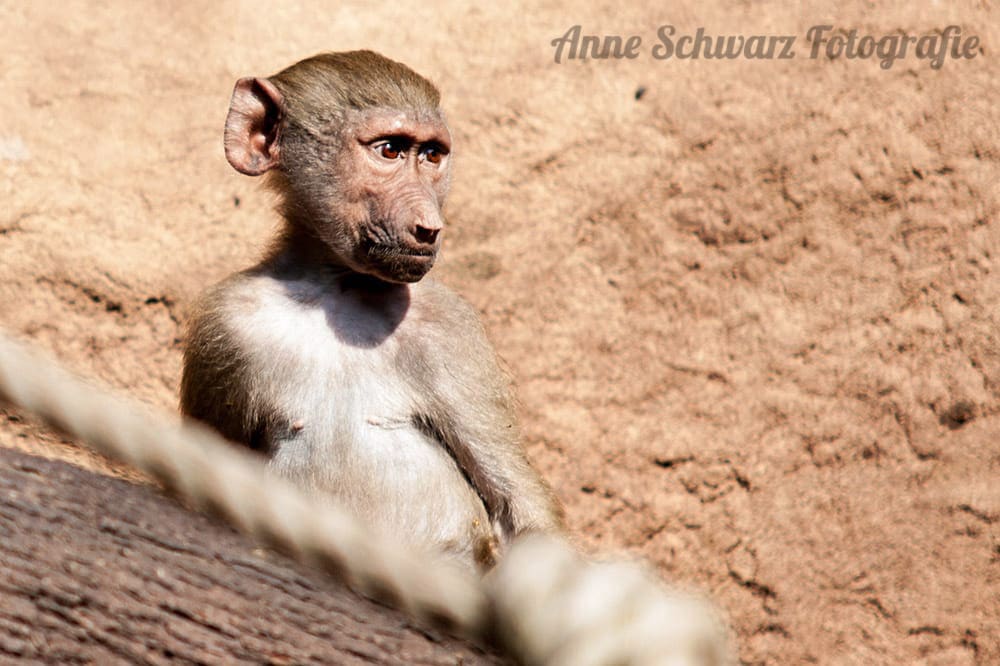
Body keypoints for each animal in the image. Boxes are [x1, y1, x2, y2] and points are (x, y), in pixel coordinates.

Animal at [180, 51, 564, 572]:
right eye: (389, 150)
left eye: (431, 155)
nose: (429, 227)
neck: (335, 289)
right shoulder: (223, 328)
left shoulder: (451, 330)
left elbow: (517, 507)